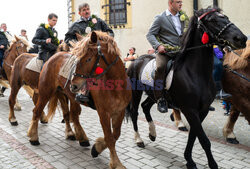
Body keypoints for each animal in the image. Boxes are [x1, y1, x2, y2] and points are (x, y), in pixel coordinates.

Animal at [126, 7, 247, 168]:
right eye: (213, 20)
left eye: (226, 17)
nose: (241, 38)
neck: (195, 73)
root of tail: (136, 60)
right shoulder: (189, 109)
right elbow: (204, 140)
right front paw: (212, 164)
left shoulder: (202, 110)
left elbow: (193, 135)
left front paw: (189, 159)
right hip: (135, 92)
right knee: (134, 113)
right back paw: (139, 139)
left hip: (153, 95)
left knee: (145, 107)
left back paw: (152, 134)